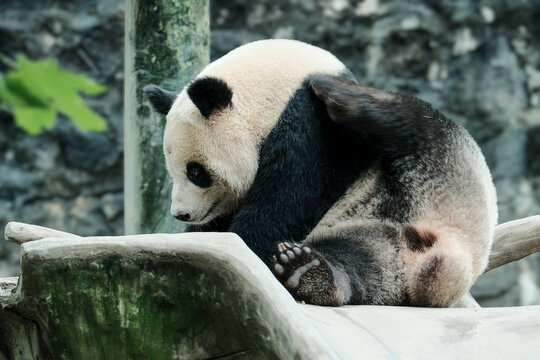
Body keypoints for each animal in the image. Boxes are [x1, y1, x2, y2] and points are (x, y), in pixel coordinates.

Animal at [144, 40, 498, 308]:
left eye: (196, 171)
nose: (181, 214)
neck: (273, 98)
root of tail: (445, 260)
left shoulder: (314, 133)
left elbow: (284, 204)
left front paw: (246, 238)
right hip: (374, 238)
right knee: (360, 261)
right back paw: (311, 273)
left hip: (451, 169)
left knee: (413, 122)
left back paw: (338, 92)